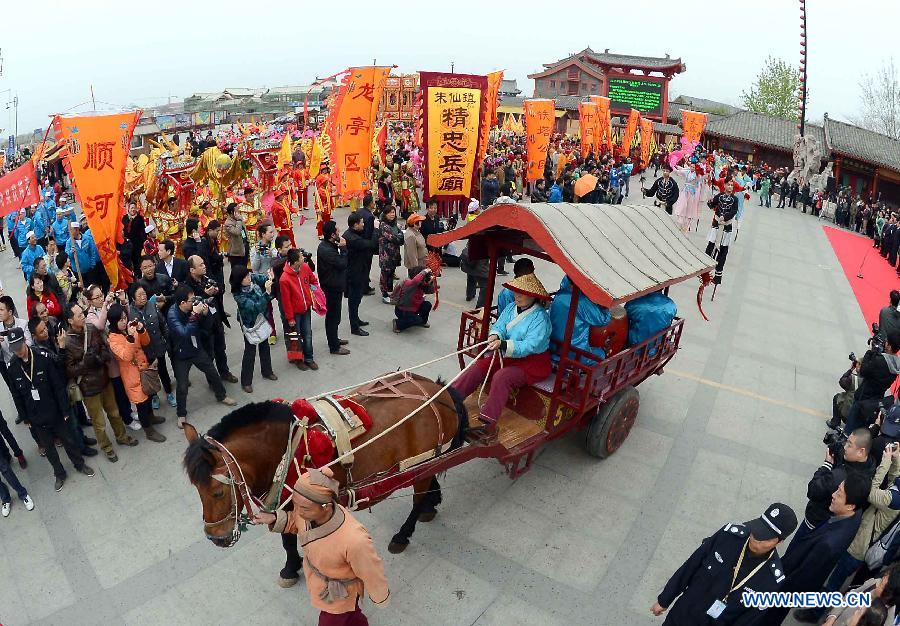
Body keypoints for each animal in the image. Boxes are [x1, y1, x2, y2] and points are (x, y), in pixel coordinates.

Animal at [180, 372, 468, 576]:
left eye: (218, 492)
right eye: (196, 489)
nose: (216, 538)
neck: (289, 448)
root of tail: (440, 393)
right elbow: (286, 538)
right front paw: (291, 567)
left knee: (417, 498)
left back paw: (404, 533)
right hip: (429, 459)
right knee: (432, 474)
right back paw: (432, 503)